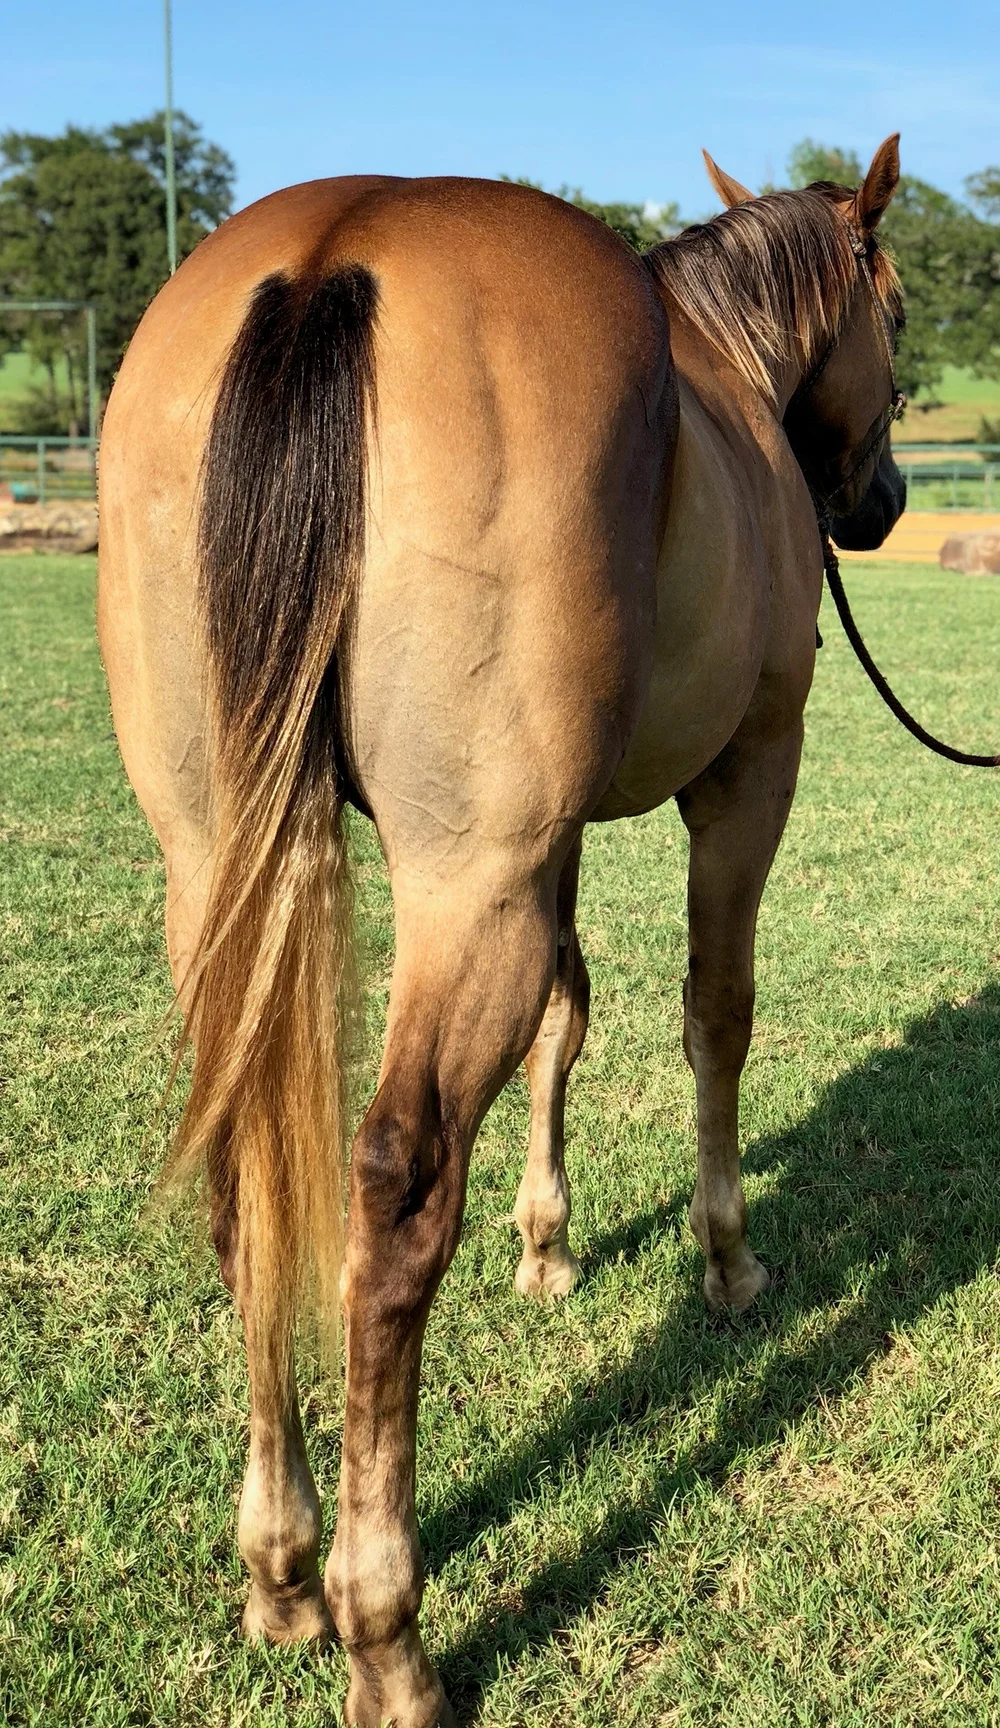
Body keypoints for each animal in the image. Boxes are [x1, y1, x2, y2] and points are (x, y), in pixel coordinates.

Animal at [97, 136, 906, 1726]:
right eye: (895, 312)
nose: (887, 500)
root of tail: (332, 260)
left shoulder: (561, 836)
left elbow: (567, 1021)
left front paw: (547, 1243)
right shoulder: (745, 778)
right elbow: (714, 1017)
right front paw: (725, 1261)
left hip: (220, 868)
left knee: (250, 1179)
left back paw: (280, 1574)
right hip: (470, 884)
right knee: (394, 1193)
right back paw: (383, 1632)